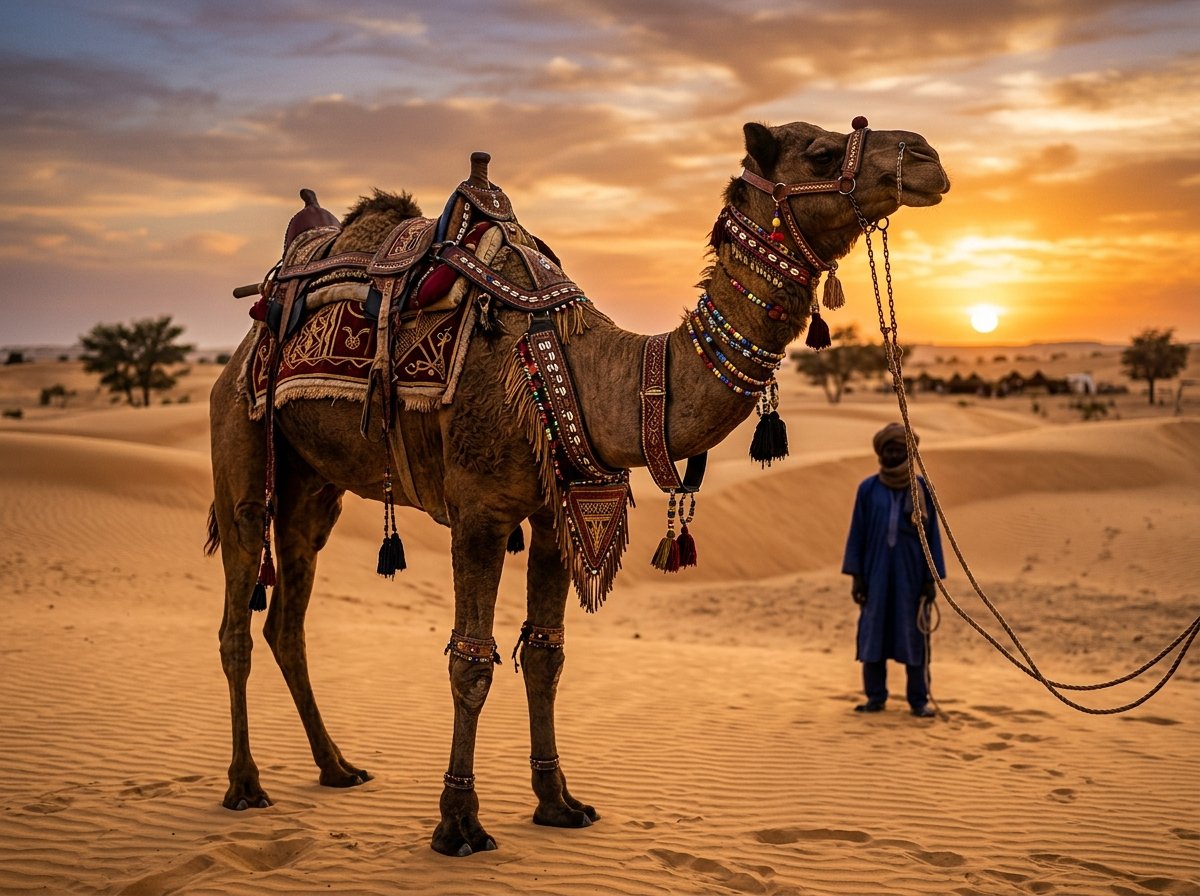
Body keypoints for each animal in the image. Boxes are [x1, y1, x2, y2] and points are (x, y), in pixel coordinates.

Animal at [206, 117, 949, 856]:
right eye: (821, 152)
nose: (926, 156)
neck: (577, 373)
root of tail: (242, 344)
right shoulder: (479, 512)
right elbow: (471, 661)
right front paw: (458, 822)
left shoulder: (553, 515)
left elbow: (546, 653)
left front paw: (558, 801)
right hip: (242, 447)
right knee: (237, 616)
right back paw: (245, 785)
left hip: (313, 487)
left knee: (286, 621)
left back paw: (336, 766)